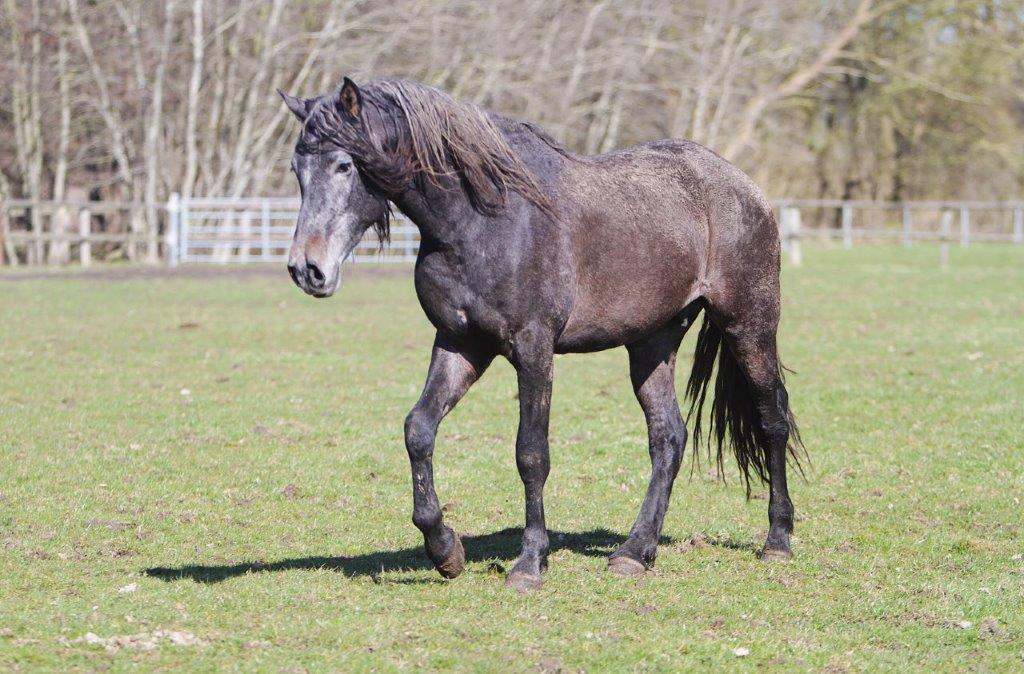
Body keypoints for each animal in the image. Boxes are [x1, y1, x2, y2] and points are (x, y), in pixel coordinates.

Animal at [278, 78, 804, 590]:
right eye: (296, 169)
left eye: (345, 164)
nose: (307, 270)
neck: (480, 219)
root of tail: (745, 187)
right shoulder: (460, 344)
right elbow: (419, 430)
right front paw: (445, 550)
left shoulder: (533, 348)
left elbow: (531, 454)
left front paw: (529, 563)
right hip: (652, 342)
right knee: (668, 437)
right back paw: (635, 553)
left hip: (749, 325)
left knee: (772, 419)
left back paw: (777, 541)